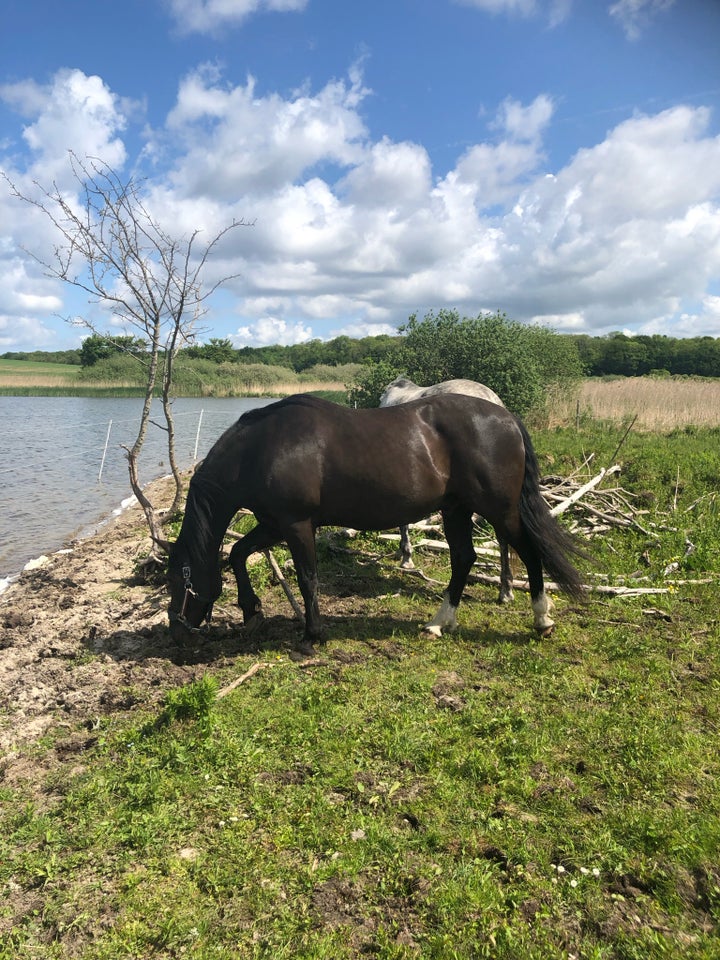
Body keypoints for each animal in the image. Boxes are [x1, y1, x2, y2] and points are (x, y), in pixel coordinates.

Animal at [169, 394, 584, 648]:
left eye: (179, 580)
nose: (176, 633)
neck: (261, 449)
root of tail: (507, 417)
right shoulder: (274, 523)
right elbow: (238, 553)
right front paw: (251, 610)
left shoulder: (296, 525)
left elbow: (307, 578)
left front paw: (312, 635)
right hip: (456, 509)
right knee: (464, 558)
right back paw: (438, 623)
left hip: (501, 511)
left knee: (529, 553)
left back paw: (542, 620)